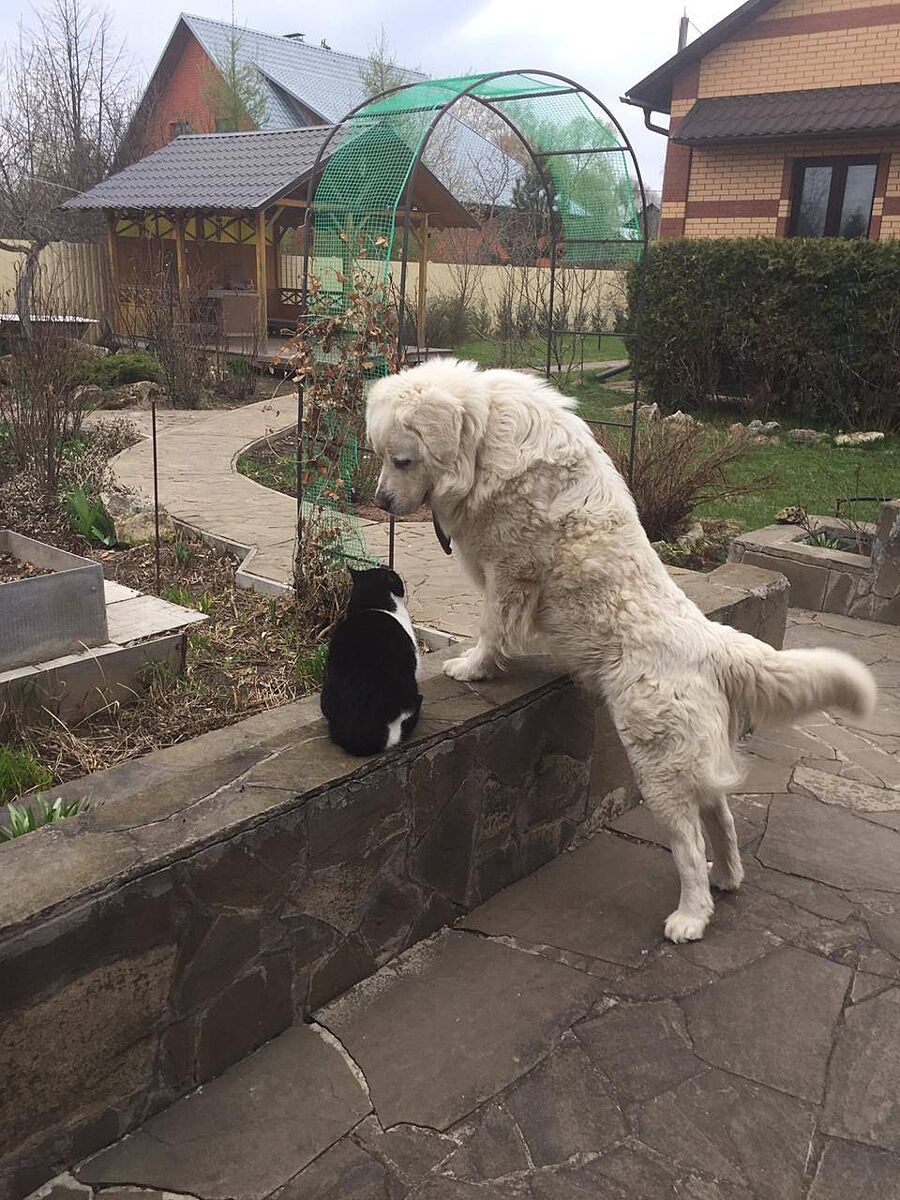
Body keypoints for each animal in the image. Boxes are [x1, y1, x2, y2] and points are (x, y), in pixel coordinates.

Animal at [366, 359, 876, 942]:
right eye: (383, 455)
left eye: (402, 459)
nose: (380, 502)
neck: (482, 436)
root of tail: (713, 643)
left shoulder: (511, 568)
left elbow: (493, 625)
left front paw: (472, 667)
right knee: (721, 817)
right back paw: (727, 877)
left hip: (658, 763)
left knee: (689, 841)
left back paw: (691, 915)